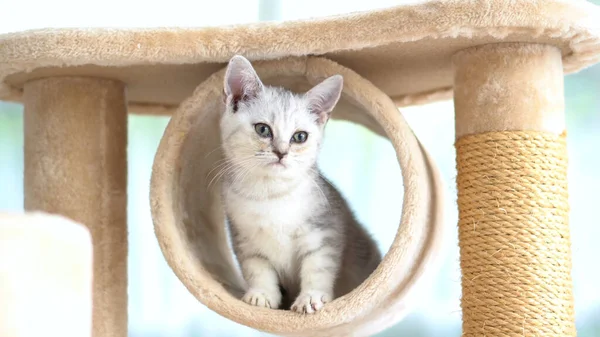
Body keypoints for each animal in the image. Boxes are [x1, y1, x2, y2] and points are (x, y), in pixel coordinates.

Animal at [219, 54, 380, 312]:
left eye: (300, 137)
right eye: (262, 129)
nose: (281, 153)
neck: (272, 195)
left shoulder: (324, 231)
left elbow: (317, 268)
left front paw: (311, 297)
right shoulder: (244, 241)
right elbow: (258, 269)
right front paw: (262, 294)